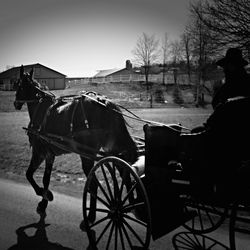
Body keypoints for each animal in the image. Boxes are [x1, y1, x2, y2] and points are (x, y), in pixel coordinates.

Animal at [13, 66, 139, 225]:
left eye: (18, 85)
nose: (15, 103)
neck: (40, 109)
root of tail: (105, 103)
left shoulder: (39, 152)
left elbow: (29, 175)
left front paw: (44, 194)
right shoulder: (49, 154)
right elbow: (46, 179)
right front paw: (43, 202)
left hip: (87, 155)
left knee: (93, 184)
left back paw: (91, 216)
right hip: (112, 148)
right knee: (124, 171)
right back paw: (129, 203)